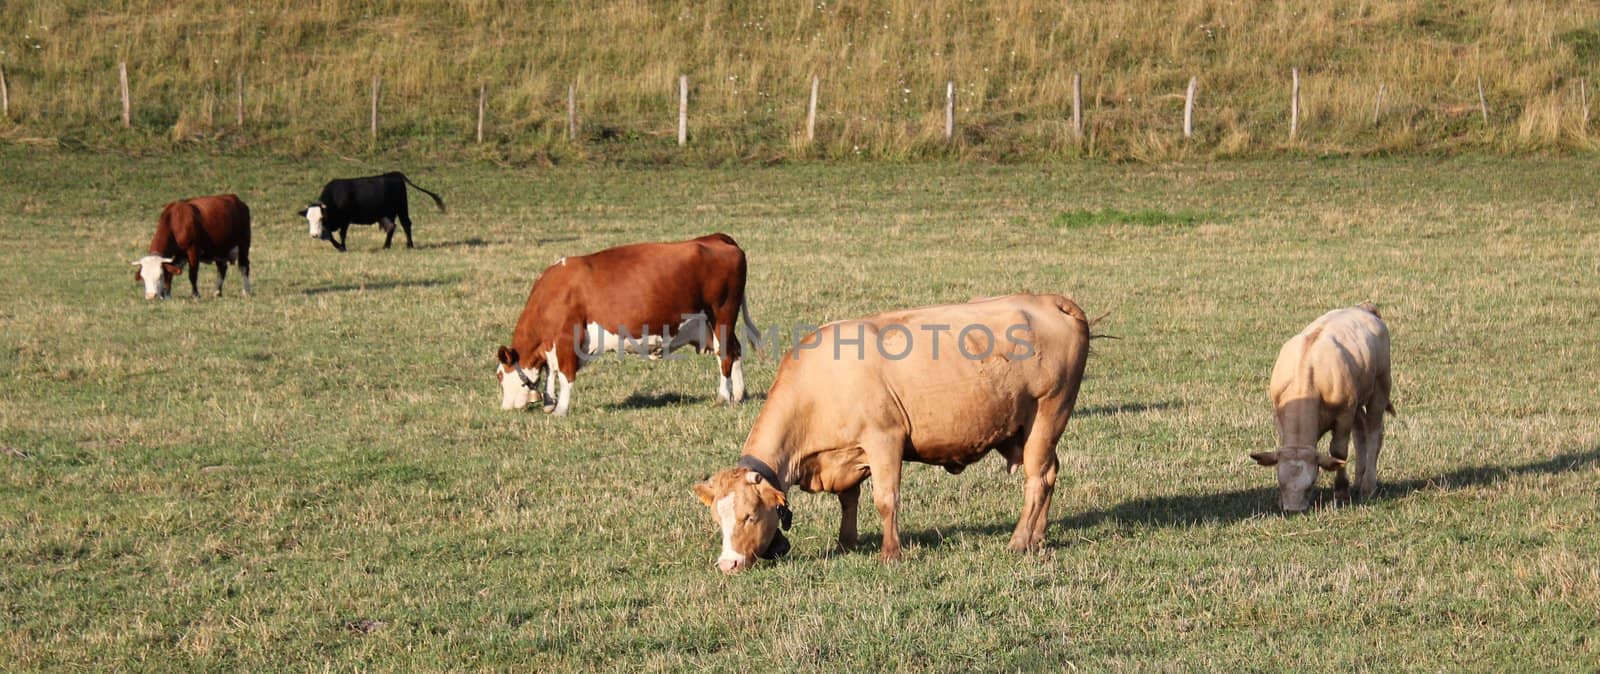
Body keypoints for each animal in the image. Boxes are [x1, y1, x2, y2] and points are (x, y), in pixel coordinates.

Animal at [300, 170, 444, 249]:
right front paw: (339, 247)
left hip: (401, 207)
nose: (314, 235)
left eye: (321, 217)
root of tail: (393, 174)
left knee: (406, 224)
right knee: (391, 226)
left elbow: (342, 234)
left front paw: (343, 247)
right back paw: (386, 246)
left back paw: (409, 245)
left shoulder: (345, 220)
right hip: (384, 213)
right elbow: (329, 235)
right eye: (308, 219)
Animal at [492, 233, 761, 416]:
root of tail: (716, 238)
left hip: (722, 314)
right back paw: (739, 395)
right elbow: (552, 371)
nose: (504, 408)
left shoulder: (567, 338)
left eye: (499, 375)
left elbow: (564, 374)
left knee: (725, 355)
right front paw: (550, 403)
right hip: (713, 324)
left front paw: (560, 409)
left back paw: (723, 396)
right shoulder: (552, 345)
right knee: (734, 351)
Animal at [694, 291, 1094, 569]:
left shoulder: (884, 439)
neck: (820, 383)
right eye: (717, 520)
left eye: (749, 515)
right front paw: (846, 543)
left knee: (1037, 479)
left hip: (1049, 412)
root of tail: (1049, 301)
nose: (727, 564)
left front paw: (890, 553)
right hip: (1029, 428)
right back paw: (1038, 537)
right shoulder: (846, 452)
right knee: (1051, 473)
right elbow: (849, 500)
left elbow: (885, 500)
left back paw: (1019, 540)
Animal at [1248, 300, 1388, 509]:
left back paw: (1368, 486)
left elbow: (1338, 452)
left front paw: (1341, 491)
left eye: (1312, 483)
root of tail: (1363, 307)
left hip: (1380, 387)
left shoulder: (1344, 414)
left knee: (1373, 433)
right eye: (1280, 482)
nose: (1293, 509)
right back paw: (1358, 481)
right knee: (1360, 432)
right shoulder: (1279, 416)